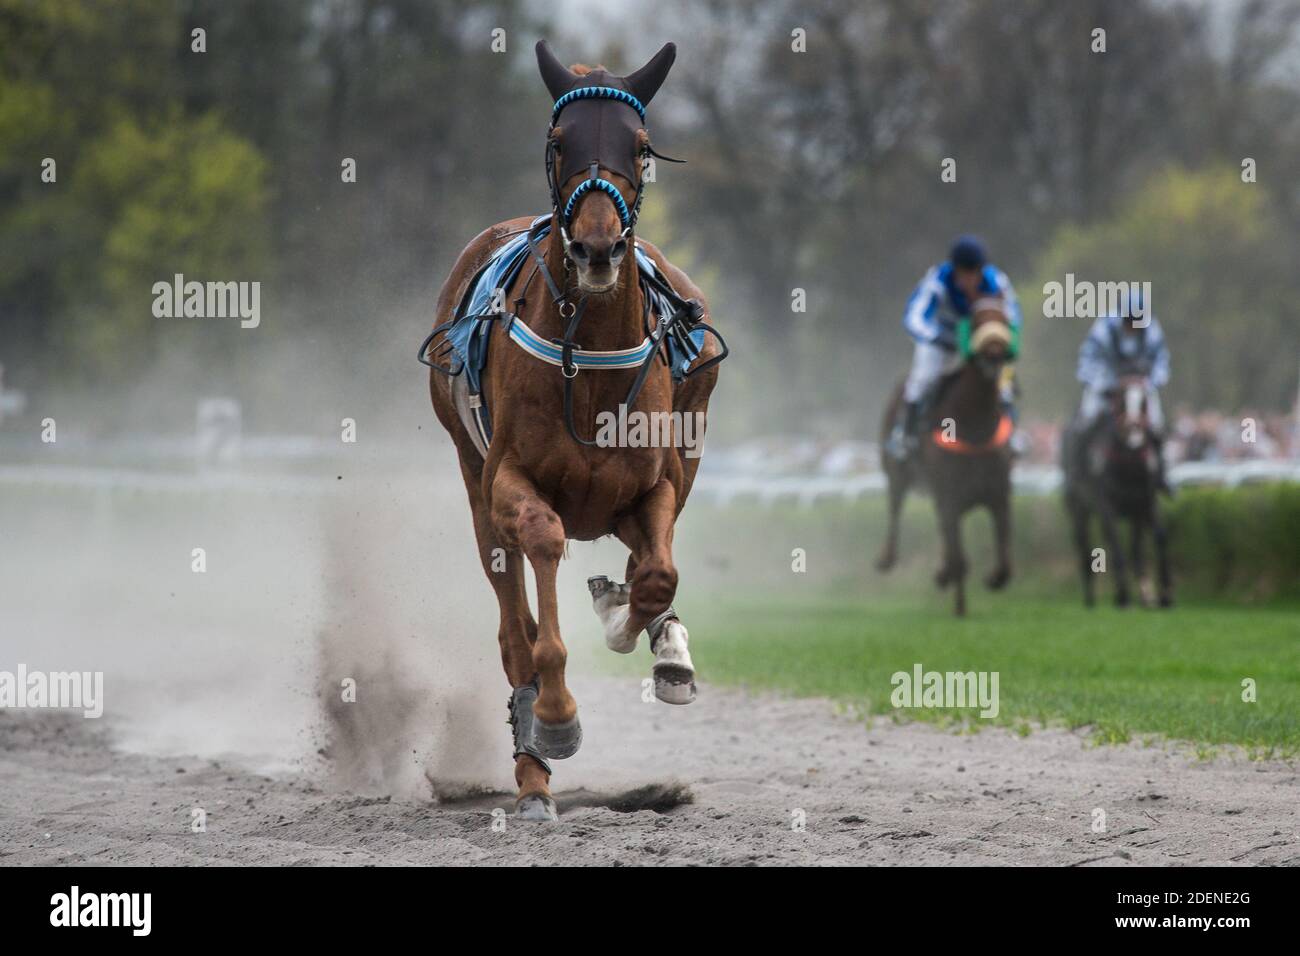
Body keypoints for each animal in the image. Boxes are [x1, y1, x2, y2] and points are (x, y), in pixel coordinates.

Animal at [423, 41, 725, 821]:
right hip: (470, 476)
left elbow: (657, 572)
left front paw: (636, 625)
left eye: (640, 146)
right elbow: (541, 555)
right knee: (513, 624)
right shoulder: (507, 479)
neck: (587, 357)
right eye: (560, 143)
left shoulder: (654, 481)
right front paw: (553, 717)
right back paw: (532, 770)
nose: (596, 249)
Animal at [875, 297, 1015, 617]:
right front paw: (959, 605)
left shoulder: (998, 495)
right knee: (894, 506)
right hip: (896, 472)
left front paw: (991, 578)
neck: (974, 428)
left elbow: (1004, 563)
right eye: (975, 321)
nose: (994, 352)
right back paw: (887, 557)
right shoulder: (949, 497)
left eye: (1004, 317)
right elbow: (960, 559)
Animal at [1062, 376, 1172, 608]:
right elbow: (1115, 541)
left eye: (1144, 403)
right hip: (1078, 507)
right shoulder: (1106, 503)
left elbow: (1155, 539)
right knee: (1083, 543)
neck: (1128, 463)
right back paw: (1090, 597)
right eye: (1120, 401)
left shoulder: (1144, 501)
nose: (1133, 435)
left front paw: (1161, 594)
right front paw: (1123, 595)